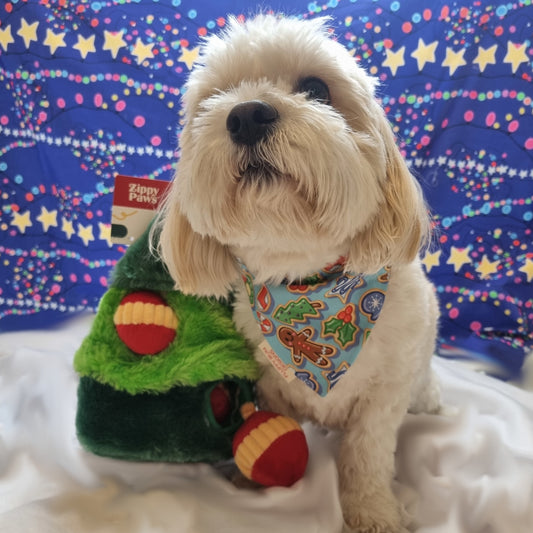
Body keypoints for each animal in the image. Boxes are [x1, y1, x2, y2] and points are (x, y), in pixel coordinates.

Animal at [153, 14, 436, 528]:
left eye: (315, 88)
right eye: (218, 96)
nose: (246, 115)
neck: (308, 283)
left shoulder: (384, 397)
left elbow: (367, 456)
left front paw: (372, 510)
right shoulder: (270, 381)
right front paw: (250, 481)